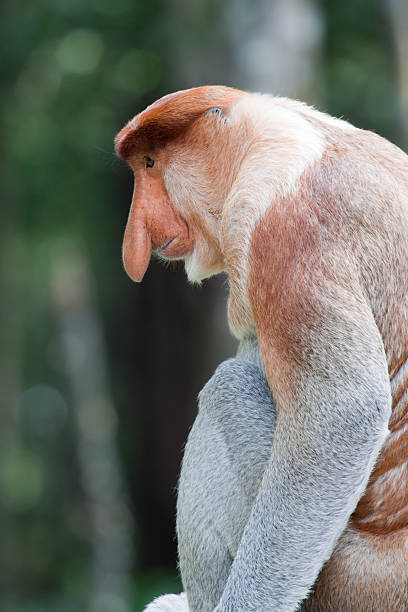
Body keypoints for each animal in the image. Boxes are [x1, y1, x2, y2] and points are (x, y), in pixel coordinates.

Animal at [114, 87, 408, 612]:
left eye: (150, 163)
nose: (136, 245)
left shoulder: (284, 227)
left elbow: (343, 413)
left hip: (343, 579)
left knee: (227, 392)